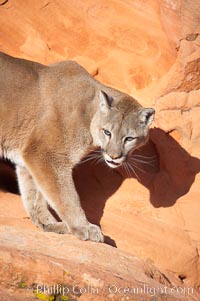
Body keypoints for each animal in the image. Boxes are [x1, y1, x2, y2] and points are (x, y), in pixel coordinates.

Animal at [0, 52, 155, 241]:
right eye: (107, 132)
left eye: (129, 138)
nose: (114, 156)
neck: (90, 113)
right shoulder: (47, 155)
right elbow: (67, 196)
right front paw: (84, 227)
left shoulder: (28, 158)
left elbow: (34, 195)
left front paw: (49, 224)